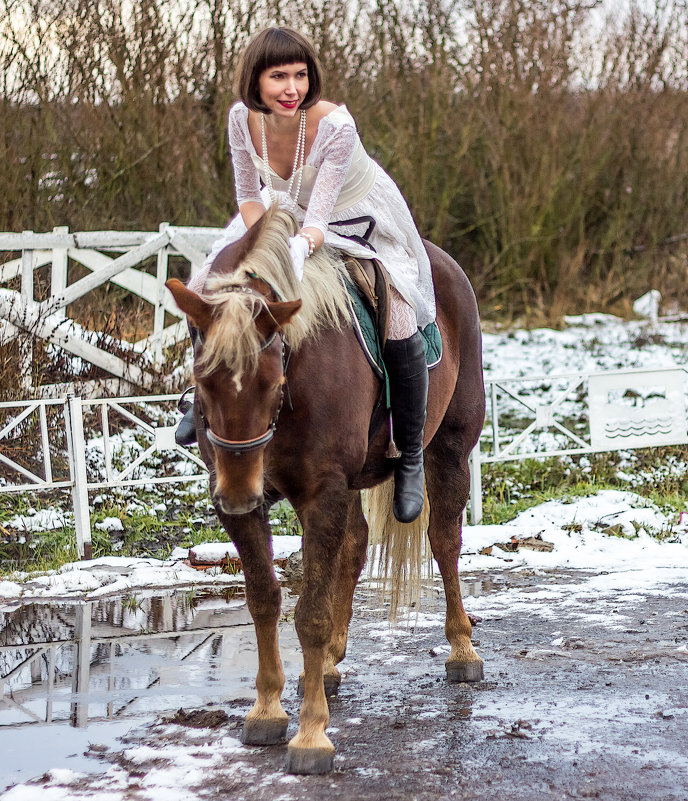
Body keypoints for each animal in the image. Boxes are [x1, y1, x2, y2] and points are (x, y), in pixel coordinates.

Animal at [166, 208, 484, 776]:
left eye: (273, 381)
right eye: (202, 381)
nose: (241, 493)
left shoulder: (322, 494)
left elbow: (309, 613)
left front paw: (311, 734)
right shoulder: (253, 507)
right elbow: (265, 599)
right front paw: (267, 709)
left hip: (449, 446)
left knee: (444, 542)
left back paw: (462, 650)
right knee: (355, 546)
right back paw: (332, 662)